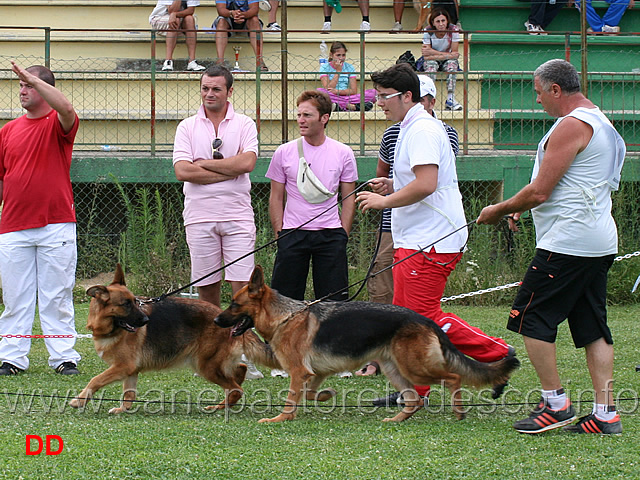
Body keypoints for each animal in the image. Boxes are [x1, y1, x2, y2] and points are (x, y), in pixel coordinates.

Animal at [70, 264, 280, 414]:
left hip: (205, 366)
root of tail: (225, 316)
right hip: (212, 364)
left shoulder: (122, 366)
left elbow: (95, 380)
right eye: (126, 304)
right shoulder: (130, 370)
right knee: (240, 371)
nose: (146, 320)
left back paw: (221, 406)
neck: (109, 328)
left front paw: (79, 400)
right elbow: (128, 393)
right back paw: (223, 402)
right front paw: (123, 409)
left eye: (135, 302)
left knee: (236, 388)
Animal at [215, 266, 520, 424]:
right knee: (414, 399)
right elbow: (311, 394)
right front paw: (327, 395)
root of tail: (425, 320)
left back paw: (458, 412)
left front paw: (280, 419)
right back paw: (397, 420)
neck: (284, 316)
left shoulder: (299, 373)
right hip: (396, 371)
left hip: (415, 369)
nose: (216, 320)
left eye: (234, 305)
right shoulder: (315, 373)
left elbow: (291, 399)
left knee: (453, 377)